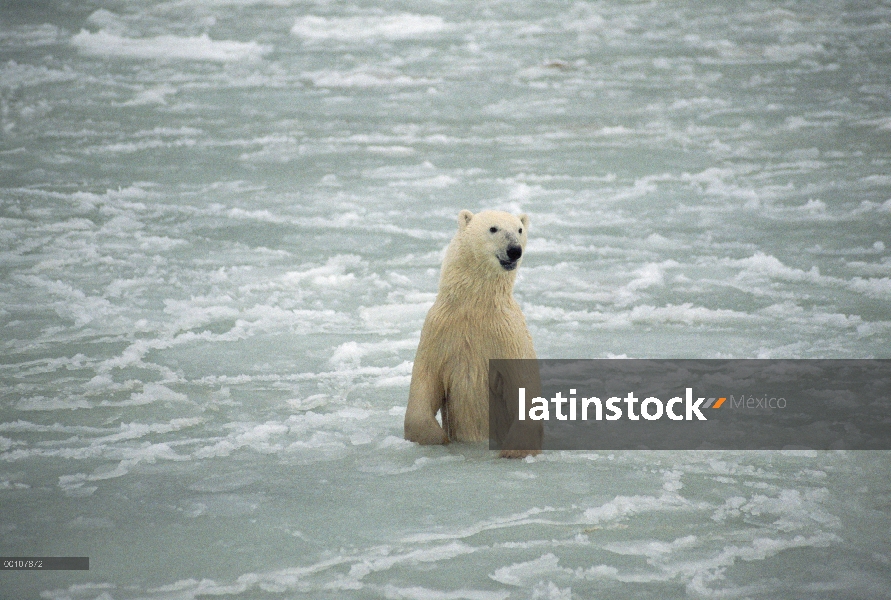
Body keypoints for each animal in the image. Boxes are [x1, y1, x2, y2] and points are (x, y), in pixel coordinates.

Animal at [406, 209, 544, 458]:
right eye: (493, 228)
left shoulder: (509, 335)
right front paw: (435, 438)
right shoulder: (439, 330)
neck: (475, 308)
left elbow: (524, 385)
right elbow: (425, 378)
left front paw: (515, 449)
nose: (514, 250)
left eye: (519, 229)